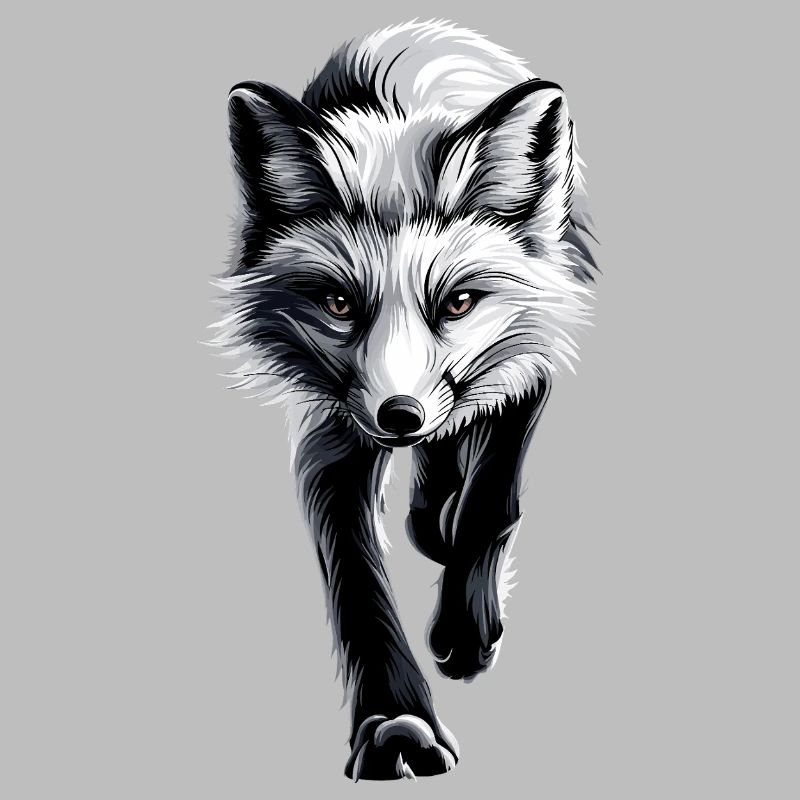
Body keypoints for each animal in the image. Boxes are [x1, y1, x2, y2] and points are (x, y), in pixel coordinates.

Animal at [211, 19, 598, 781]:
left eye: (459, 302)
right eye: (338, 304)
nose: (400, 416)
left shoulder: (530, 353)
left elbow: (490, 506)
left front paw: (467, 628)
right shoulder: (334, 430)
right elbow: (358, 581)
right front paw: (396, 723)